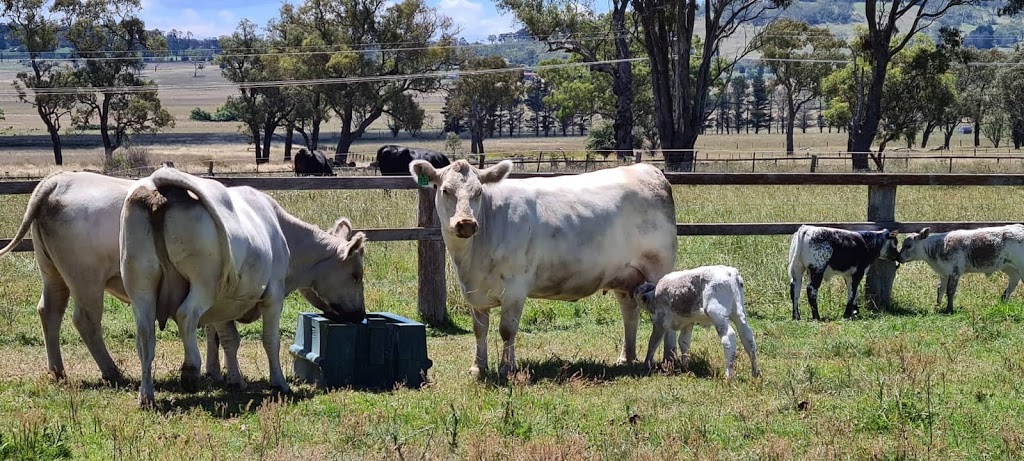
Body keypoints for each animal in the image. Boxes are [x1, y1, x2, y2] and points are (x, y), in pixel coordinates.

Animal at [118, 166, 366, 405]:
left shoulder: (224, 304)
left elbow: (230, 340)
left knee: (145, 336)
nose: (360, 315)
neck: (282, 231)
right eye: (356, 275)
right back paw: (190, 371)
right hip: (204, 284)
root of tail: (156, 183)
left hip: (142, 284)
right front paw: (279, 383)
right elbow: (270, 341)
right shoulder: (273, 296)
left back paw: (146, 395)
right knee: (186, 315)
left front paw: (235, 380)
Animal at [407, 158, 679, 374]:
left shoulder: (515, 288)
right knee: (629, 313)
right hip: (625, 276)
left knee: (665, 312)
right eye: (445, 190)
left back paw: (670, 359)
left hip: (660, 269)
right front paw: (478, 368)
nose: (465, 223)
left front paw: (507, 367)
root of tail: (648, 170)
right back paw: (626, 358)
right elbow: (479, 330)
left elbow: (507, 330)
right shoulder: (476, 293)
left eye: (478, 193)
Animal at [630, 264, 761, 379]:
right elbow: (684, 342)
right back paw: (755, 373)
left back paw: (729, 375)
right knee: (748, 338)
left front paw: (646, 364)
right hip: (739, 313)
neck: (653, 296)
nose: (633, 290)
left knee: (729, 337)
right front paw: (684, 365)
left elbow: (653, 342)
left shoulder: (660, 322)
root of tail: (729, 272)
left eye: (637, 291)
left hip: (718, 314)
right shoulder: (688, 323)